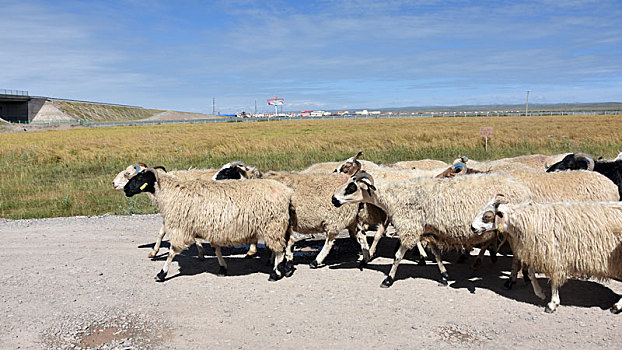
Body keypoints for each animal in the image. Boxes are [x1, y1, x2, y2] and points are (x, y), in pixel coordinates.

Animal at [334, 172, 532, 288]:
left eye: (351, 187)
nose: (333, 199)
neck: (395, 197)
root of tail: (525, 190)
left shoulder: (410, 227)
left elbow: (398, 256)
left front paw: (388, 279)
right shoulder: (428, 230)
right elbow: (436, 254)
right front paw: (444, 276)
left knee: (518, 256)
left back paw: (512, 280)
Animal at [472, 196, 622, 314]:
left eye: (487, 216)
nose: (472, 227)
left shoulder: (553, 255)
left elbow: (553, 280)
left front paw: (552, 304)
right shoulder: (538, 253)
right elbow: (531, 273)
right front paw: (540, 294)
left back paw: (617, 306)